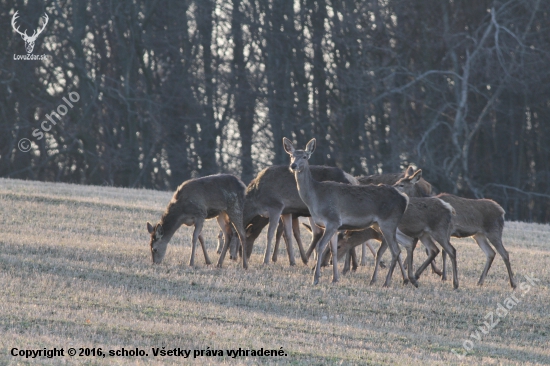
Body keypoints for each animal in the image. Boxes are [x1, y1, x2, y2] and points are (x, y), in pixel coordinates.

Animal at [284, 137, 410, 286]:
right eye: (291, 155)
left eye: (305, 156)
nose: (293, 165)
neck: (315, 197)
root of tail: (404, 199)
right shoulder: (334, 226)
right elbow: (333, 250)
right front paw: (335, 278)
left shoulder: (332, 220)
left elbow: (321, 246)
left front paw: (315, 278)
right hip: (382, 225)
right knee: (404, 244)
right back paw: (403, 280)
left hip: (388, 222)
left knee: (395, 250)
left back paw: (386, 282)